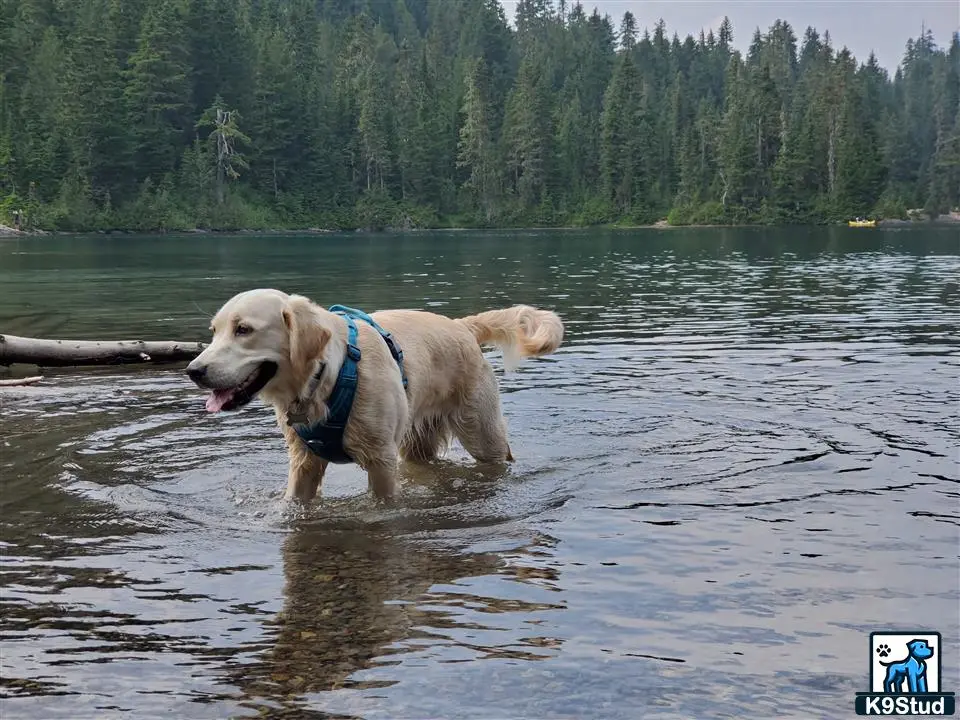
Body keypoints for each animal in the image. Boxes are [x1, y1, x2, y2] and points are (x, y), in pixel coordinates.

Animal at [185, 290, 564, 504]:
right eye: (215, 331)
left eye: (244, 329)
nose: (194, 370)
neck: (331, 373)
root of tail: (461, 325)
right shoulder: (304, 460)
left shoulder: (381, 460)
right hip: (416, 442)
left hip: (482, 432)